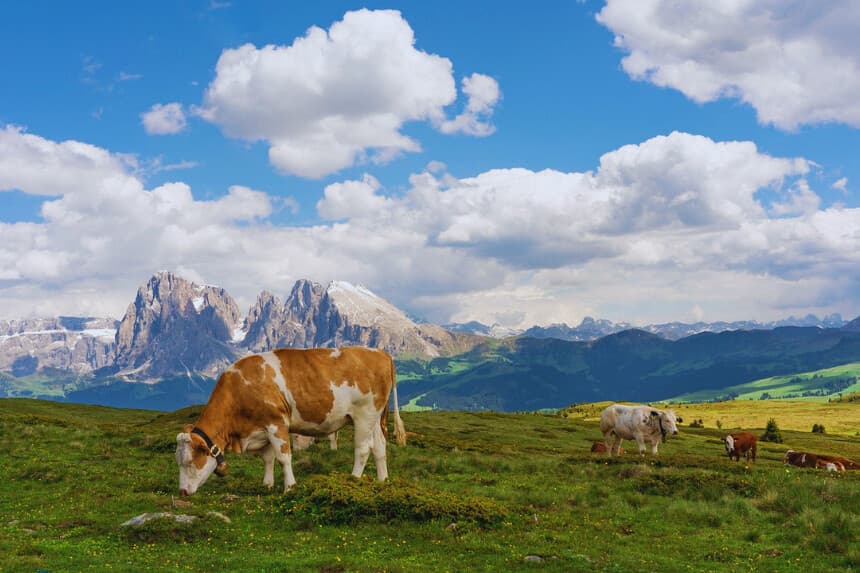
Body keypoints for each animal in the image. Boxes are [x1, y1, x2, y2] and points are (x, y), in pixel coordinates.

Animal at [175, 347, 406, 495]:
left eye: (189, 462)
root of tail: (380, 353)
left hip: (364, 414)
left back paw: (353, 480)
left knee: (363, 449)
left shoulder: (276, 423)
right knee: (379, 446)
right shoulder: (262, 428)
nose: (183, 492)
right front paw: (266, 485)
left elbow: (283, 458)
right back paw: (382, 482)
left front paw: (289, 487)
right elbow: (268, 458)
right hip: (374, 417)